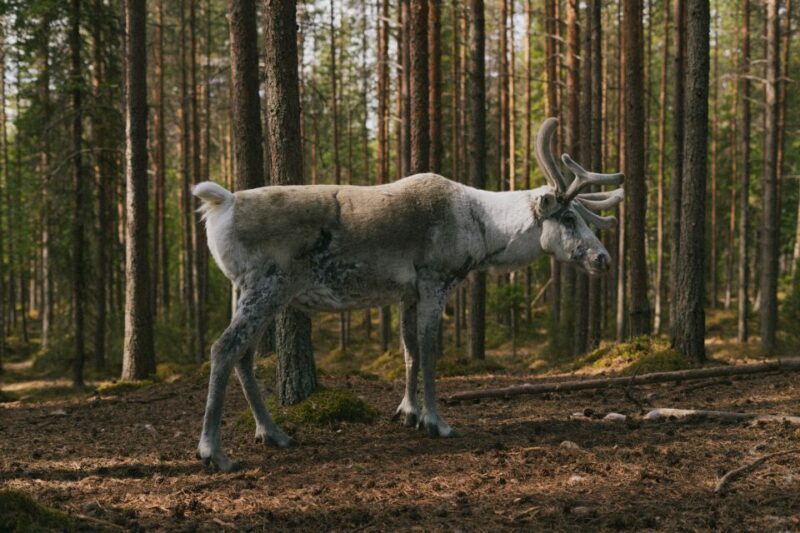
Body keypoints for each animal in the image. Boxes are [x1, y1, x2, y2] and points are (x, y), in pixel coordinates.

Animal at [192, 117, 624, 472]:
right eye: (568, 218)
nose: (603, 259)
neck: (484, 228)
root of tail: (223, 204)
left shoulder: (406, 292)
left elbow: (409, 350)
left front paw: (409, 413)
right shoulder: (436, 280)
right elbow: (430, 351)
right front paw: (438, 422)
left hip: (249, 291)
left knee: (244, 355)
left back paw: (273, 433)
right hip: (265, 287)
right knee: (223, 348)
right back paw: (214, 451)